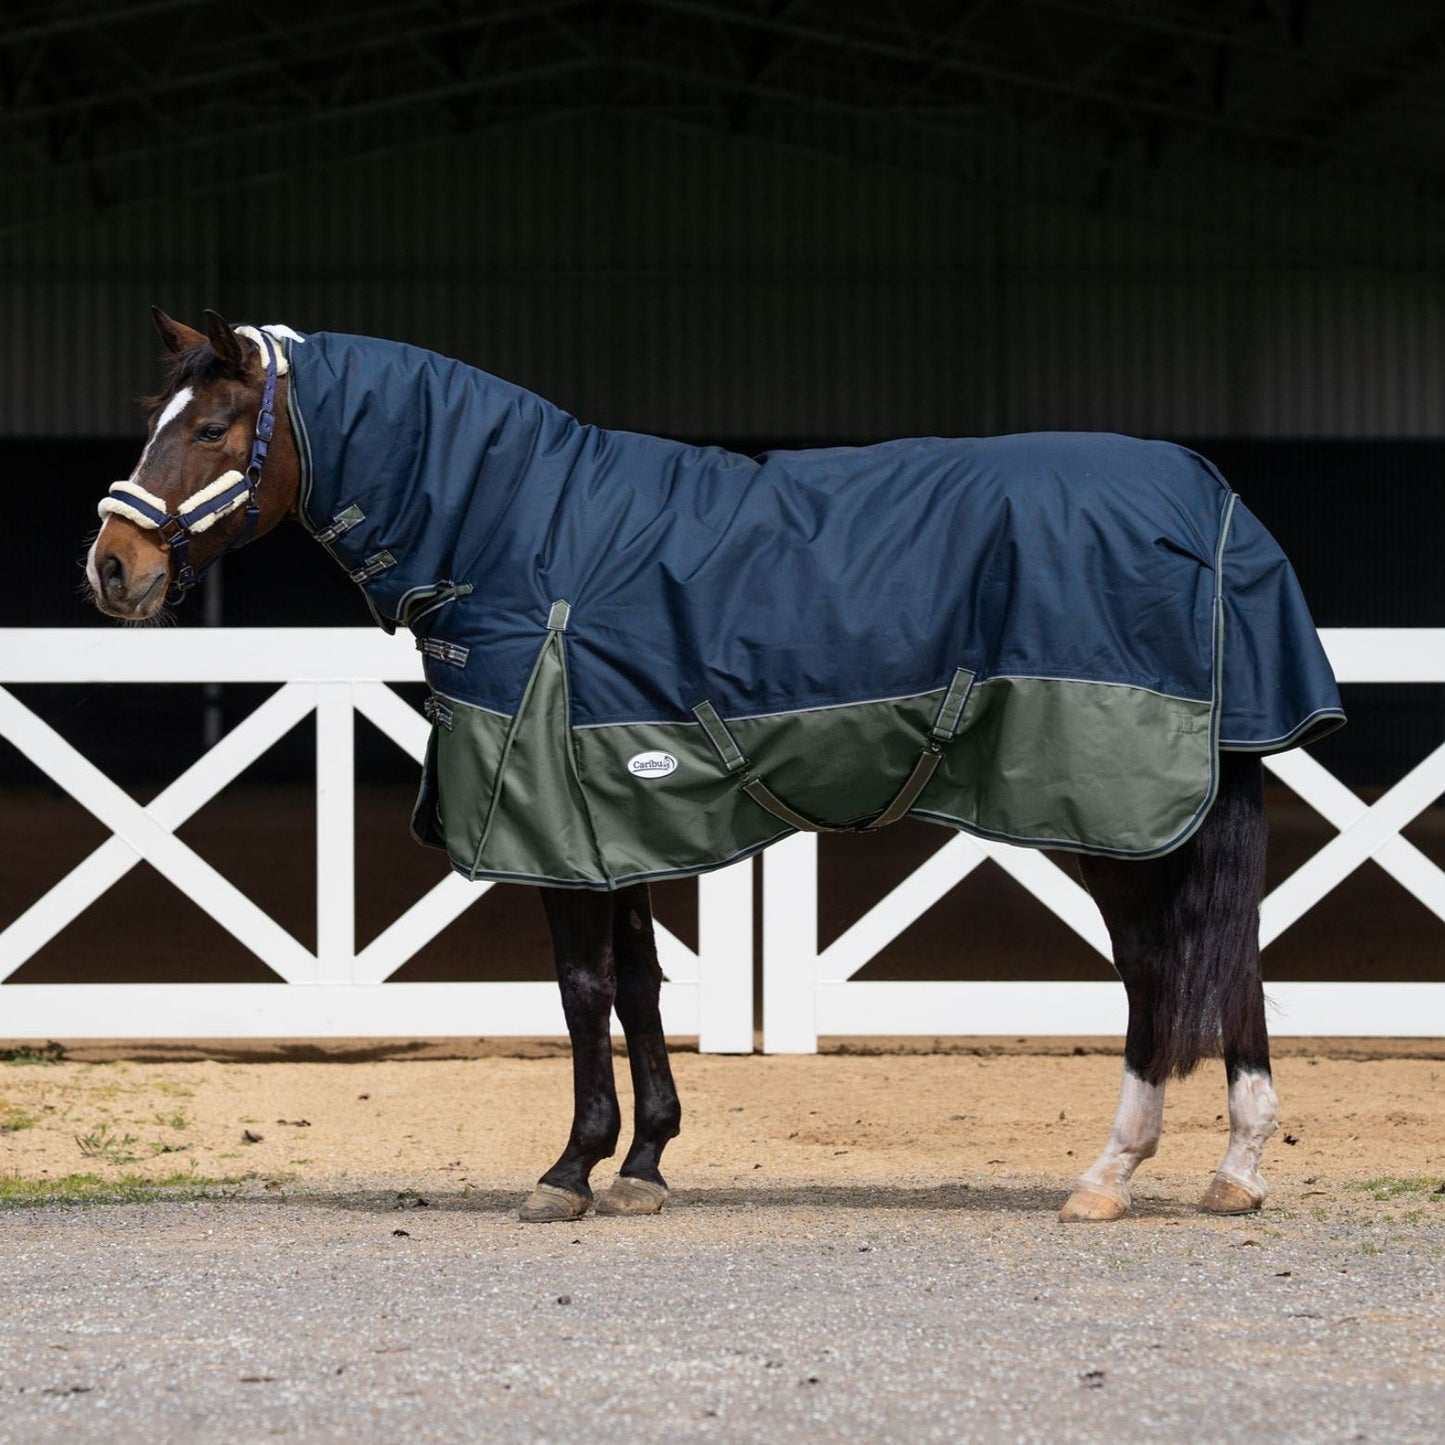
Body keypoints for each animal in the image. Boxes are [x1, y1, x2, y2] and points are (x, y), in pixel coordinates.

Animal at [85, 310, 1344, 1224]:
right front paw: (643, 1161)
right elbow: (640, 984)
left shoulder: (551, 820)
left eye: (215, 428)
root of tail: (1210, 501)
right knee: (1222, 963)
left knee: (1157, 972)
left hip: (1115, 814)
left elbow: (582, 987)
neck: (522, 534)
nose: (113, 568)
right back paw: (1232, 1170)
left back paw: (1111, 1173)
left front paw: (569, 1169)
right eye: (157, 419)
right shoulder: (607, 813)